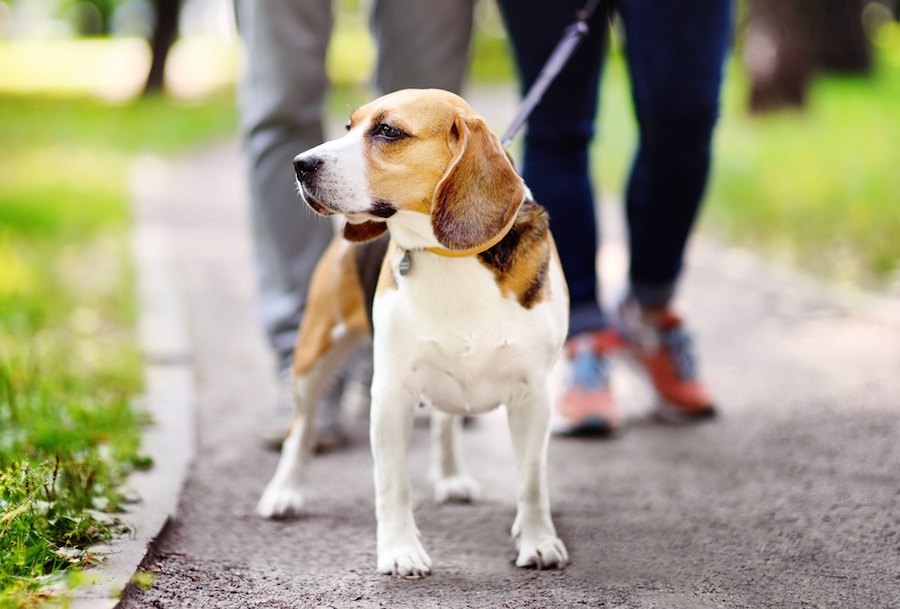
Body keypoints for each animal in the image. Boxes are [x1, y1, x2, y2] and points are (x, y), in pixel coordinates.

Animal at [256, 86, 568, 576]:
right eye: (348, 127)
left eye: (388, 131)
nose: (301, 164)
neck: (450, 256)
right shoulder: (390, 395)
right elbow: (392, 483)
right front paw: (400, 551)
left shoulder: (534, 395)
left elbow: (532, 481)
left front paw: (538, 541)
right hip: (312, 356)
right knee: (300, 430)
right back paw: (282, 493)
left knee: (445, 421)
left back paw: (452, 476)